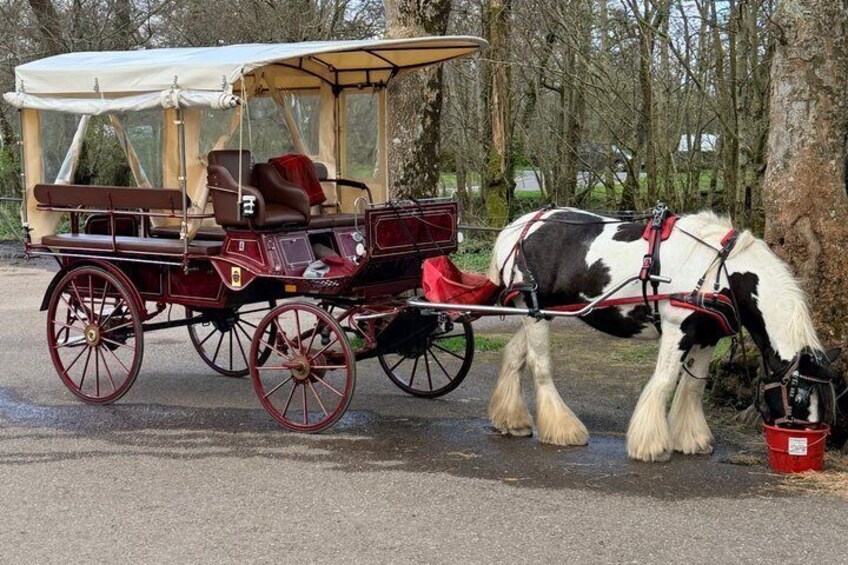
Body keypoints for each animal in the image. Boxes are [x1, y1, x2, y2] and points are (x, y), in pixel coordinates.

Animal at [486, 207, 846, 462]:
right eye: (798, 399)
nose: (803, 445)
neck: (721, 270)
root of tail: (519, 227)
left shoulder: (707, 335)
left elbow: (693, 386)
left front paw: (692, 439)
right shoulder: (678, 327)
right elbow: (666, 380)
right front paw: (651, 445)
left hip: (537, 313)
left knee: (515, 355)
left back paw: (512, 421)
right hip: (535, 311)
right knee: (540, 366)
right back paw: (563, 429)